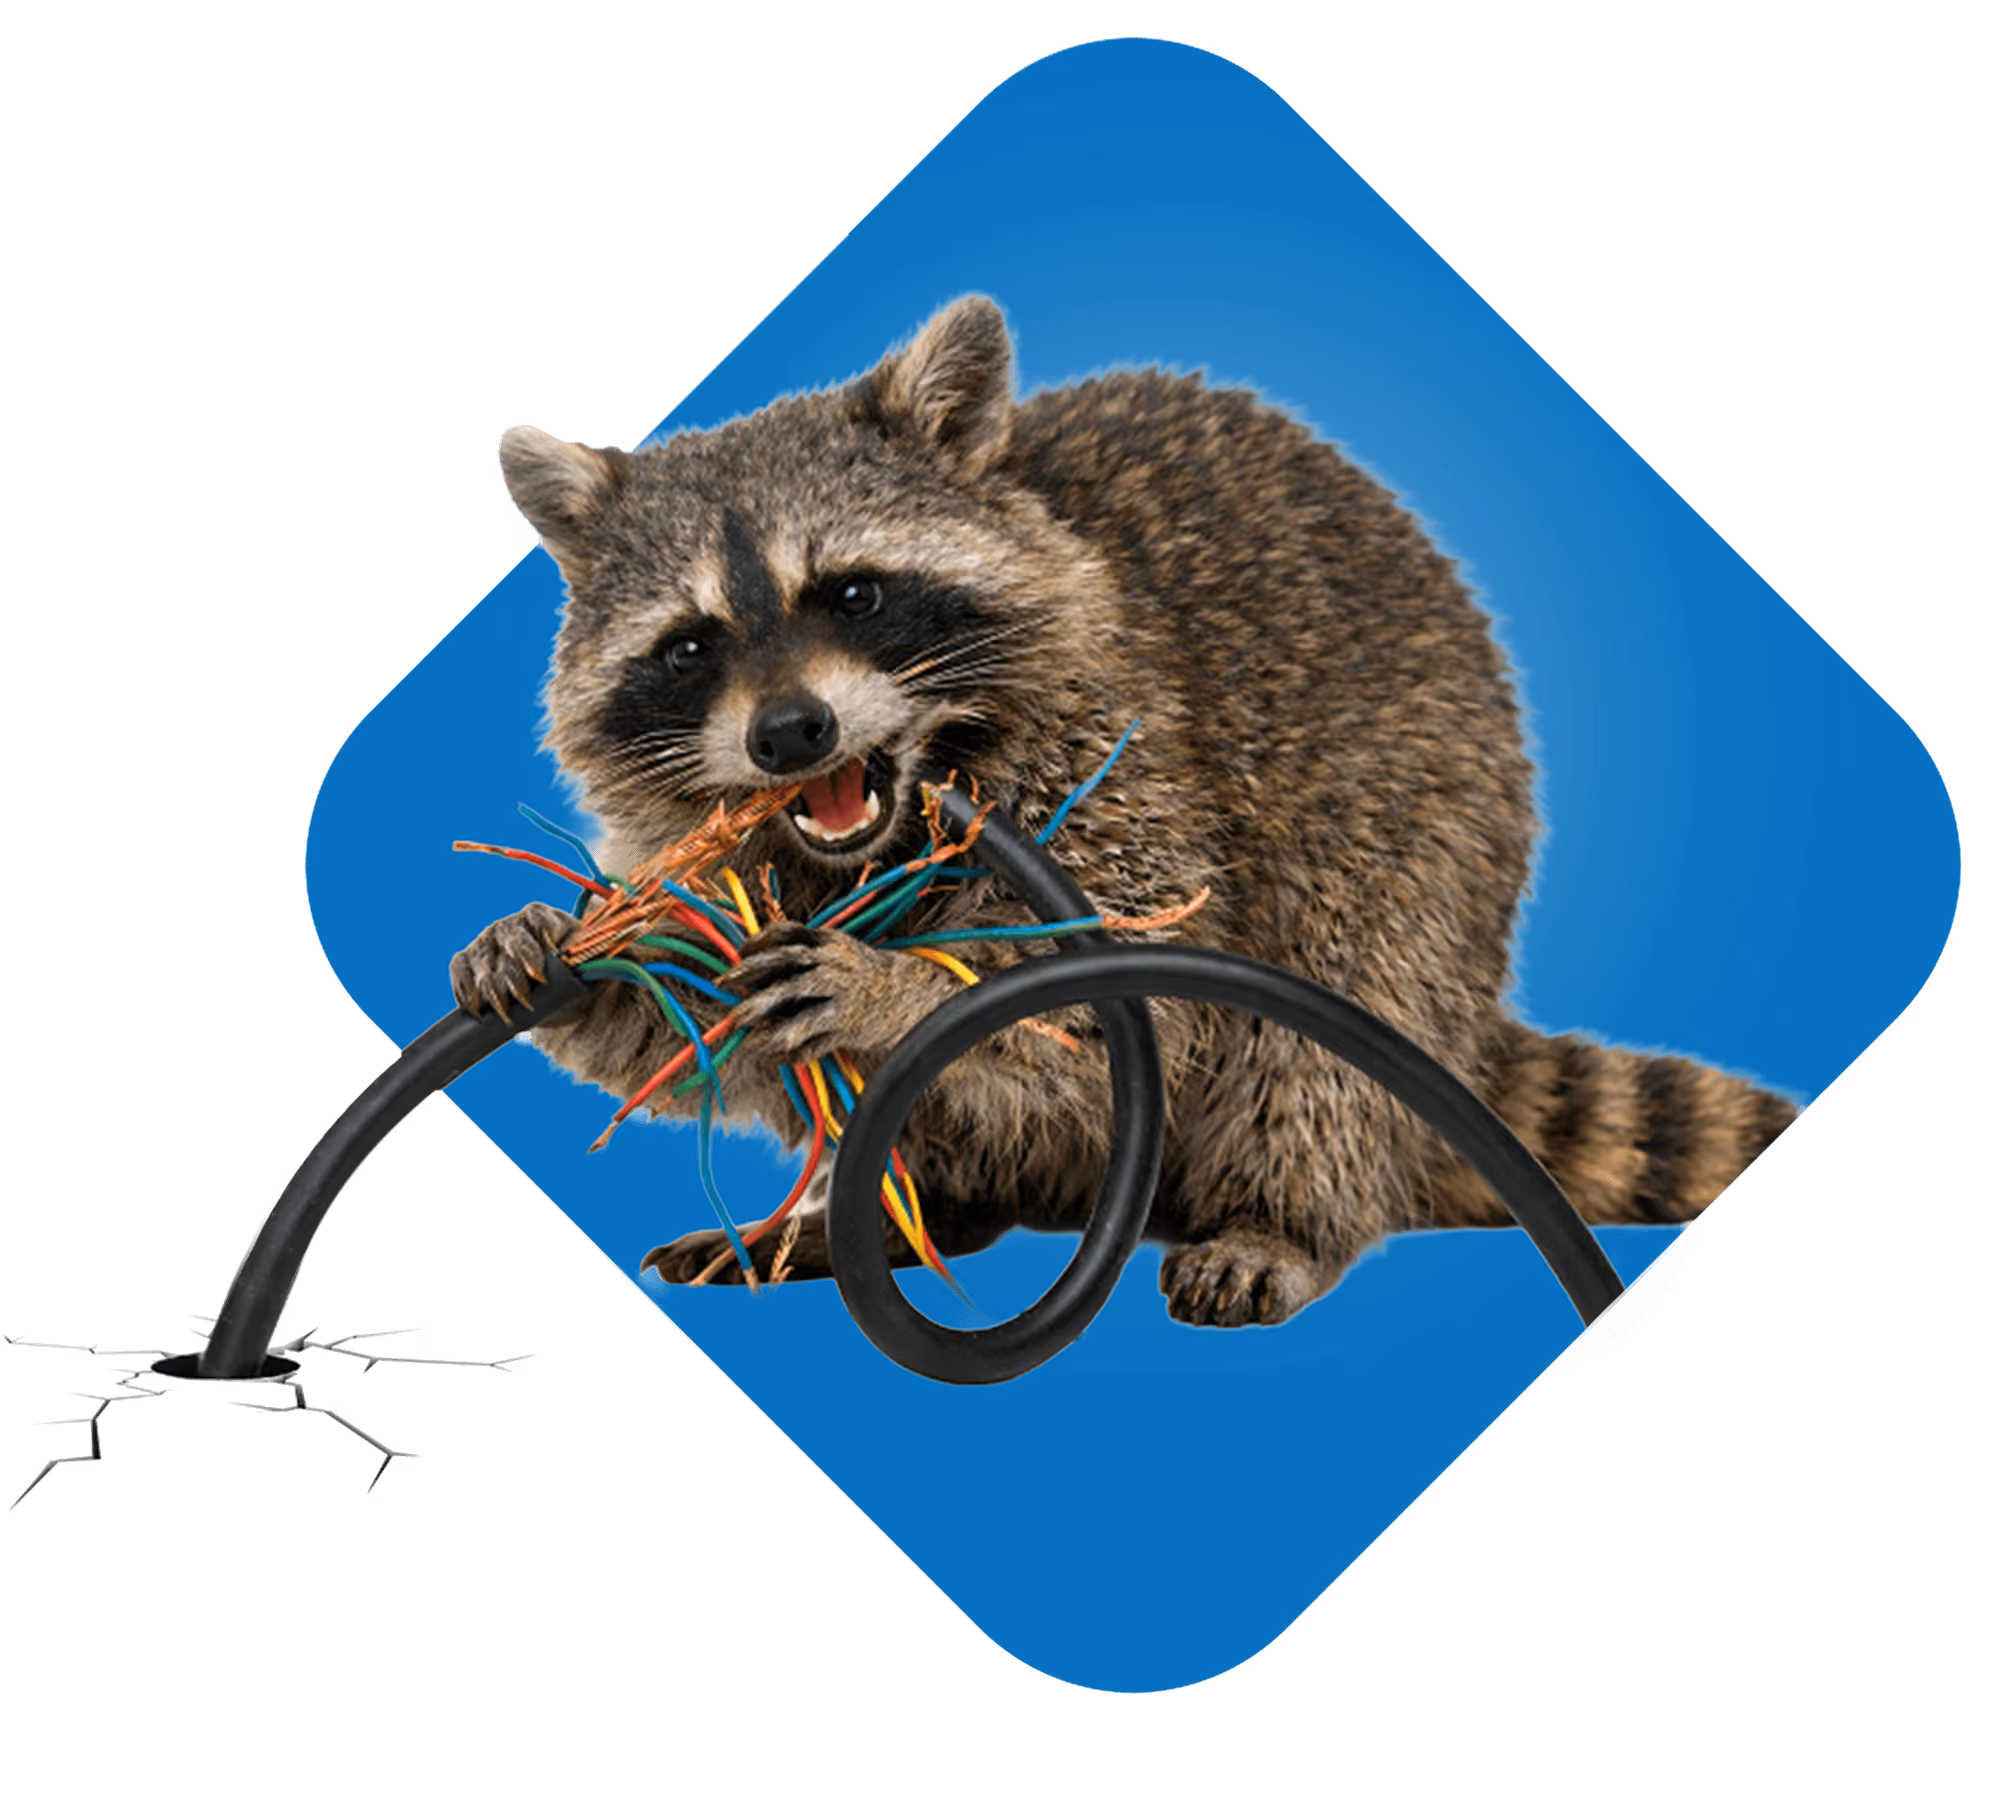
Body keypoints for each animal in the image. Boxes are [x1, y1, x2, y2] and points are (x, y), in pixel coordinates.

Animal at [453, 295, 1801, 1329]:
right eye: (689, 646)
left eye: (852, 592)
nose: (791, 734)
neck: (876, 828)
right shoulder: (701, 842)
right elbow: (696, 1035)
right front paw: (561, 949)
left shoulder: (1124, 757)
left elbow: (1126, 1001)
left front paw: (900, 988)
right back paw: (890, 1216)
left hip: (1431, 827)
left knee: (1336, 1013)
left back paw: (1281, 1216)